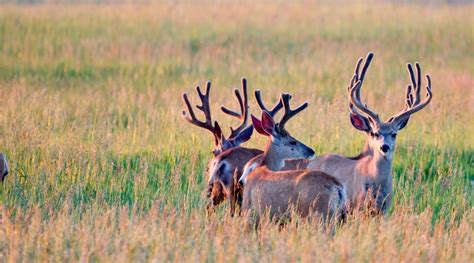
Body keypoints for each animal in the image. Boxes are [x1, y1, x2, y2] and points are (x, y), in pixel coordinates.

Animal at [243, 94, 346, 226]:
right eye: (292, 141)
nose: (311, 151)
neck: (263, 166)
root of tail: (337, 187)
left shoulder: (250, 210)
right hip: (333, 215)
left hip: (317, 213)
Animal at [308, 53, 434, 214]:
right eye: (375, 133)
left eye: (394, 134)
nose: (384, 147)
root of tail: (311, 163)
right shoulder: (356, 207)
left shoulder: (385, 210)